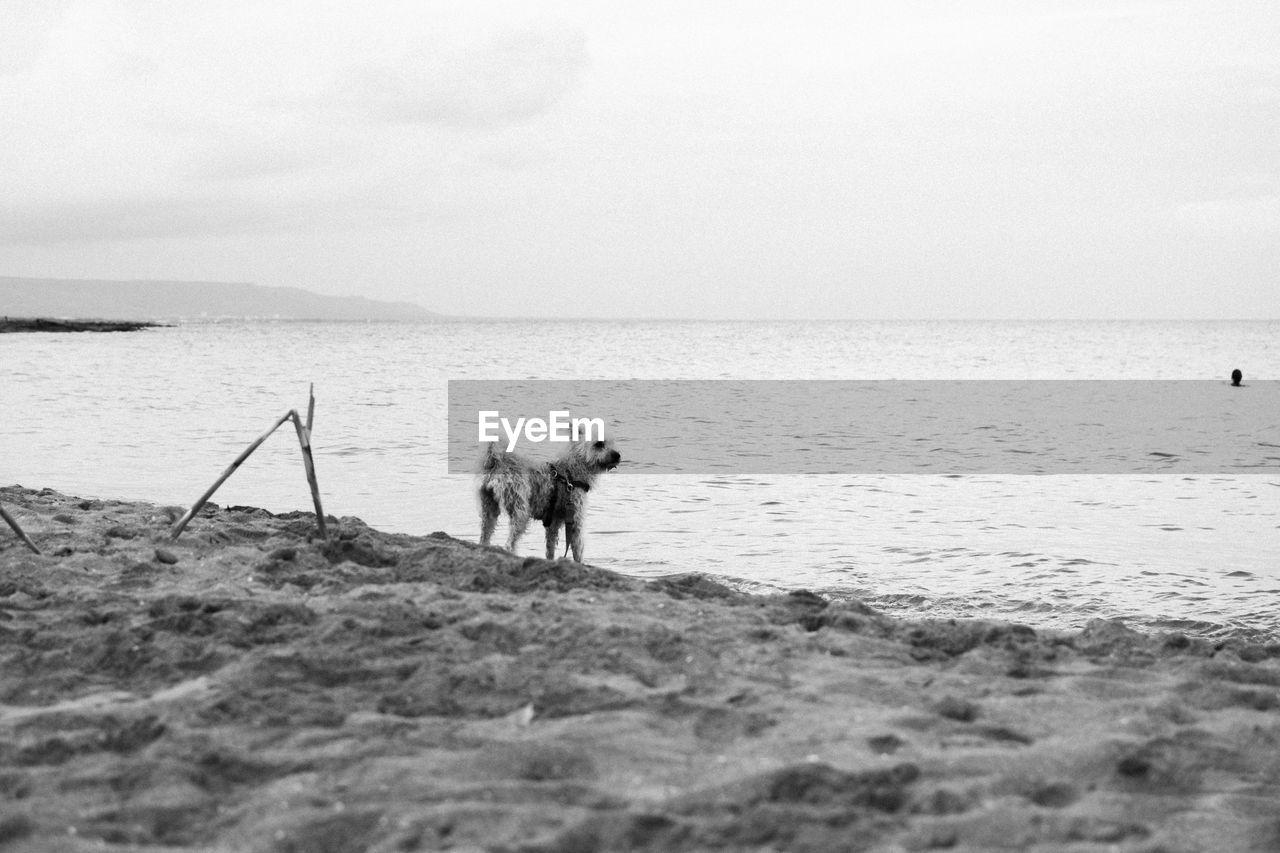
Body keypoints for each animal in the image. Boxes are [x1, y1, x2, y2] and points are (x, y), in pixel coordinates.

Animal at [481, 438, 619, 558]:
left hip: (489, 511)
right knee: (509, 545)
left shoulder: (553, 524)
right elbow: (578, 552)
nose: (617, 455)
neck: (570, 472)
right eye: (599, 444)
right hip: (520, 513)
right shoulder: (575, 522)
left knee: (484, 539)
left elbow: (550, 550)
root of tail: (497, 462)